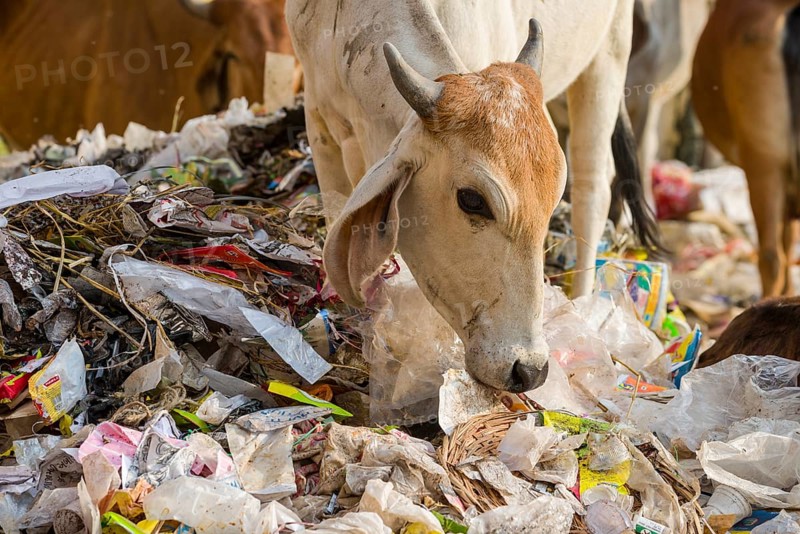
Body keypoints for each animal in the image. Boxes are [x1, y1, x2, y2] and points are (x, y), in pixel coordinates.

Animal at [287, 0, 658, 393]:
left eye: (552, 201)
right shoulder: (318, 119)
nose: (529, 370)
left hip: (609, 55)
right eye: (473, 200)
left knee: (593, 190)